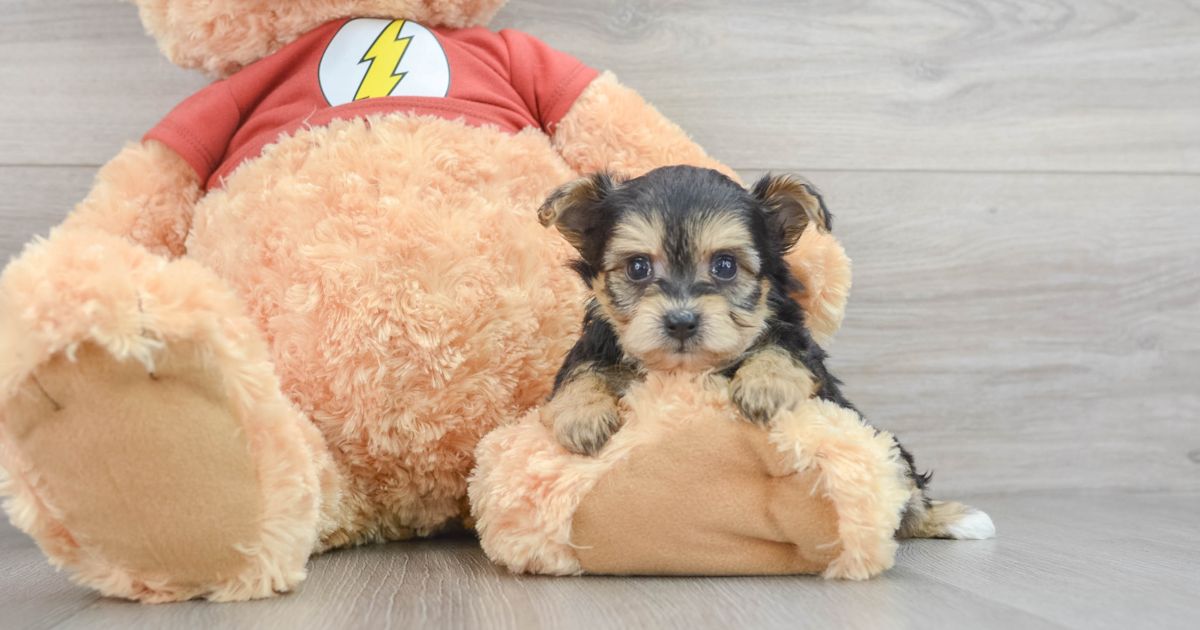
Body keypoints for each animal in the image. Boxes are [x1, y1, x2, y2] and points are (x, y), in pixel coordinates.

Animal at [540, 164, 998, 537]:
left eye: (725, 266)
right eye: (638, 267)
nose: (682, 321)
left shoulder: (803, 350)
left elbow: (781, 348)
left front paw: (766, 387)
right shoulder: (595, 345)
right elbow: (581, 370)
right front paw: (582, 415)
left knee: (907, 496)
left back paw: (956, 519)